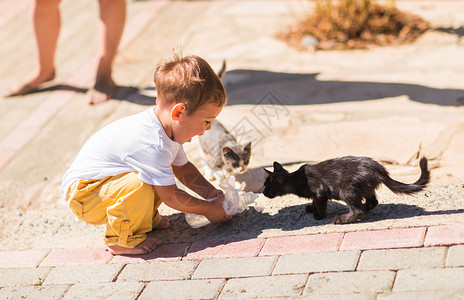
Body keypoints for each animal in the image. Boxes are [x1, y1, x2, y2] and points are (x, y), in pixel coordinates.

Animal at [262, 157, 430, 223]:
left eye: (266, 185)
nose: (263, 193)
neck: (295, 179)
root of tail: (378, 168)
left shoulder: (320, 191)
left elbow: (320, 204)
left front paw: (318, 215)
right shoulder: (317, 194)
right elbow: (315, 202)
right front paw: (311, 208)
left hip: (346, 189)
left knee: (357, 209)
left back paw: (342, 219)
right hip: (363, 188)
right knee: (372, 202)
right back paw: (364, 208)